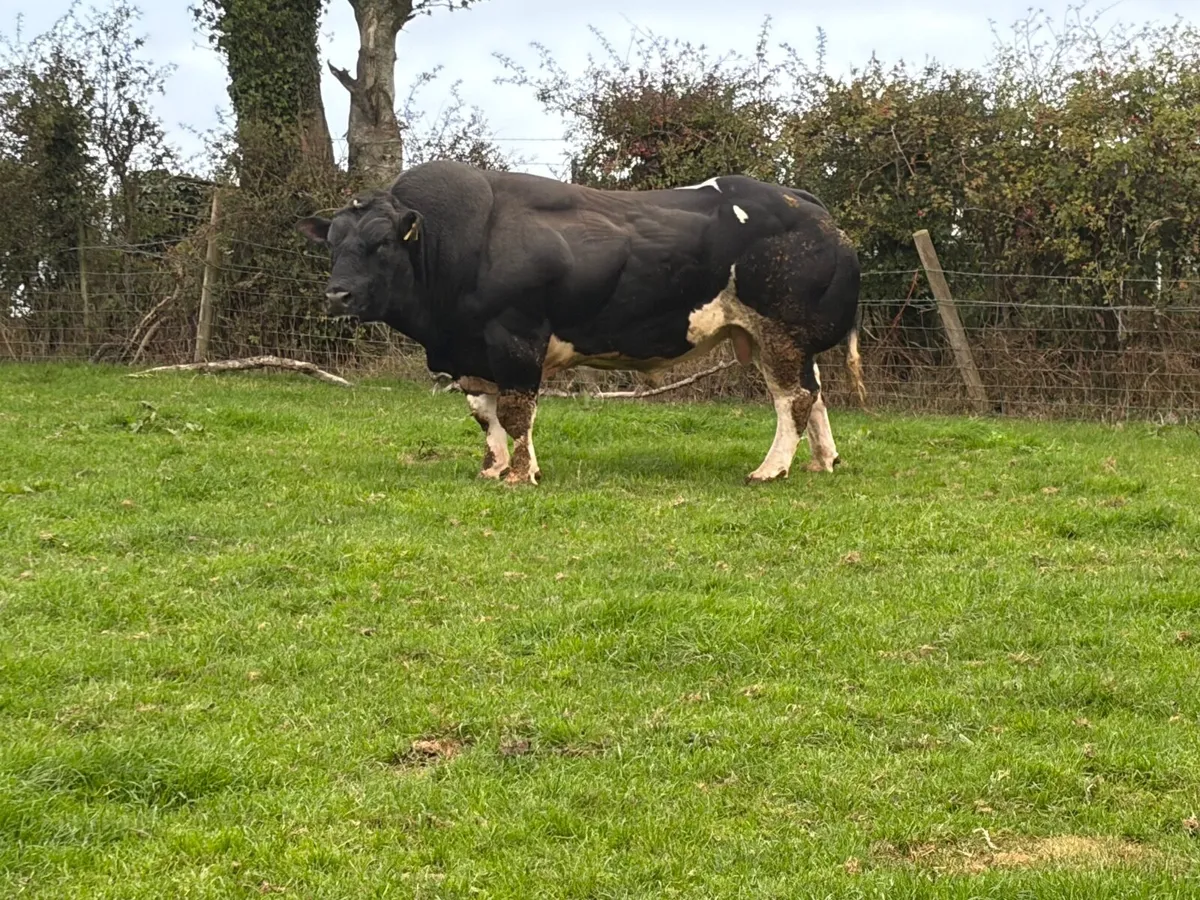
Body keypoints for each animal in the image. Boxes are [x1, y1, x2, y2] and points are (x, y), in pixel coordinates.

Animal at [297, 160, 864, 486]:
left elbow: (517, 411)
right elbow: (486, 415)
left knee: (793, 398)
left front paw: (520, 476)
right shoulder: (471, 354)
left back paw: (771, 469)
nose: (337, 294)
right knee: (813, 394)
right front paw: (493, 468)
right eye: (332, 244)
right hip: (781, 340)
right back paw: (822, 461)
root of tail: (802, 201)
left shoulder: (515, 337)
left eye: (382, 242)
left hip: (782, 332)